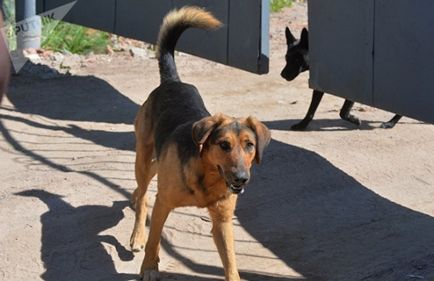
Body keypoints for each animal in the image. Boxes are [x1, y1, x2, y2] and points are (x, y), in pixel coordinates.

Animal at [130, 6, 272, 280]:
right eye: (224, 144)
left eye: (249, 145)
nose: (241, 178)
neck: (207, 176)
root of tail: (172, 82)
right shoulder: (163, 204)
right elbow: (154, 240)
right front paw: (150, 267)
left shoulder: (223, 221)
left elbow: (230, 263)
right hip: (142, 152)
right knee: (143, 195)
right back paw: (137, 233)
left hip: (158, 159)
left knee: (150, 176)